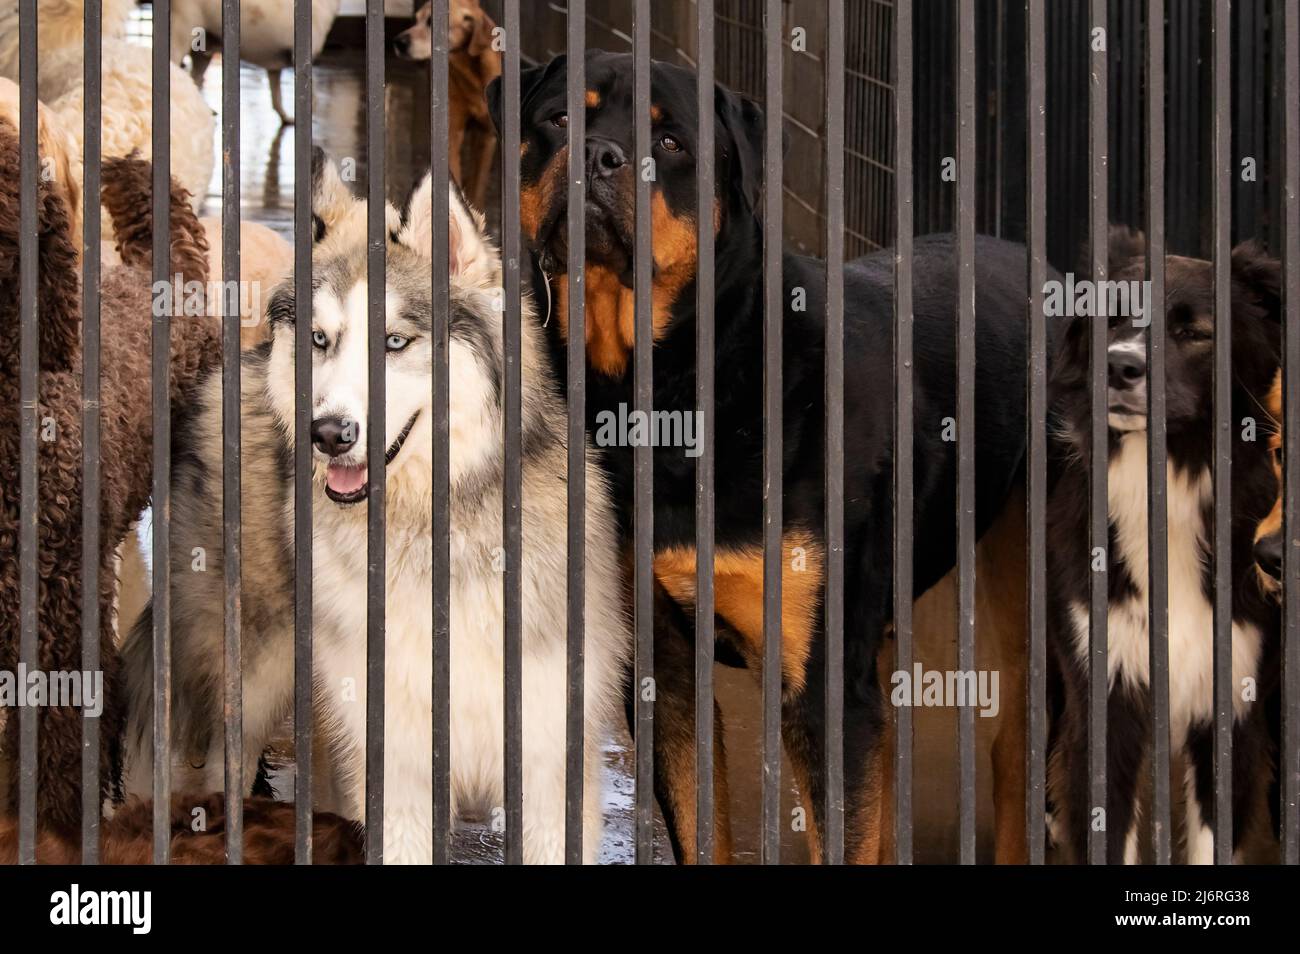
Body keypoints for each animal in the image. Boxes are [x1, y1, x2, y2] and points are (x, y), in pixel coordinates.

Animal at [124, 153, 631, 863]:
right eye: (319, 339)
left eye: (393, 342)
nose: (330, 433)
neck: (425, 533)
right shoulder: (397, 767)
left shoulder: (549, 767)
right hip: (245, 687)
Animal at [488, 48, 1045, 863]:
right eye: (559, 118)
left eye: (673, 141)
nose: (596, 154)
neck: (676, 386)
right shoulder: (663, 670)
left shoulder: (822, 685)